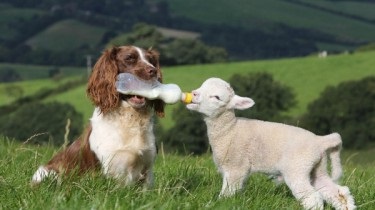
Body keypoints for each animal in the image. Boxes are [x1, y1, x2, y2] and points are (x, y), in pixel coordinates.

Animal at [32, 46, 166, 187]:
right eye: (129, 58)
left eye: (151, 60)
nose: (153, 71)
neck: (129, 118)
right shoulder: (108, 169)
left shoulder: (147, 169)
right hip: (48, 173)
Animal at [187, 77, 356, 210]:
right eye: (202, 86)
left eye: (216, 97)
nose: (193, 94)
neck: (229, 130)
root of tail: (320, 141)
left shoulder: (236, 167)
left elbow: (228, 192)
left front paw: (218, 204)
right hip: (317, 168)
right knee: (338, 192)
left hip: (297, 168)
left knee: (312, 198)